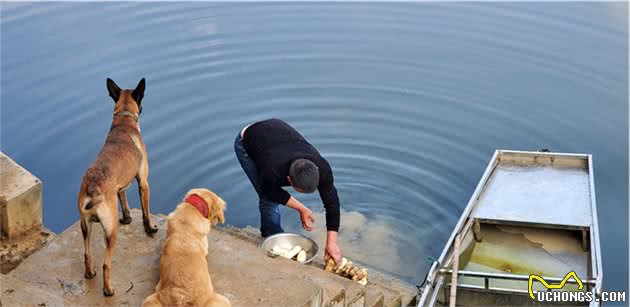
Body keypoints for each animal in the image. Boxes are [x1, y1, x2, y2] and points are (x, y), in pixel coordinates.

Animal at [78, 78, 159, 298]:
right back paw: (108, 290)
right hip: (110, 232)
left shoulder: (119, 188)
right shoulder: (143, 182)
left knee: (87, 254)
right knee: (106, 264)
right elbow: (146, 212)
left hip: (85, 228)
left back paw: (89, 273)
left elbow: (124, 201)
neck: (124, 121)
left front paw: (127, 218)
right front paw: (150, 228)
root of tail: (92, 189)